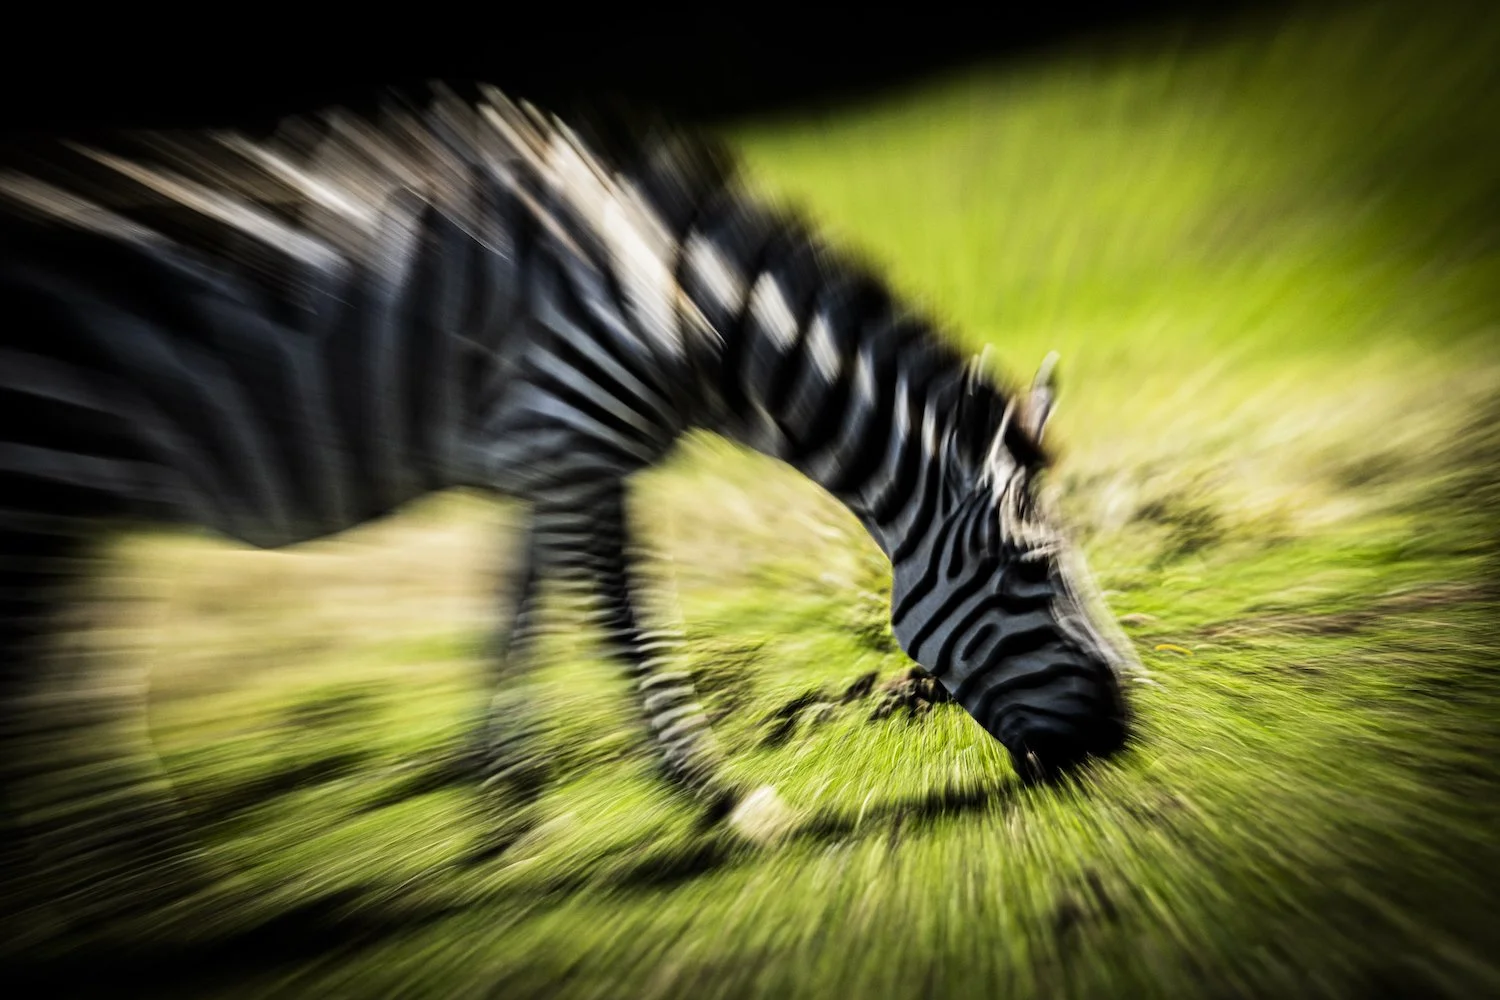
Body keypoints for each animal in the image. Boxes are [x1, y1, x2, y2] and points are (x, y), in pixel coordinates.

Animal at [0, 84, 1139, 926]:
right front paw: (727, 801)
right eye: (1036, 571)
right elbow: (630, 633)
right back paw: (154, 886)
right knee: (67, 692)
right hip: (51, 469)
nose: (1127, 730)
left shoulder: (543, 459)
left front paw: (507, 812)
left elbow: (515, 623)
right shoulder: (577, 435)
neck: (690, 314)